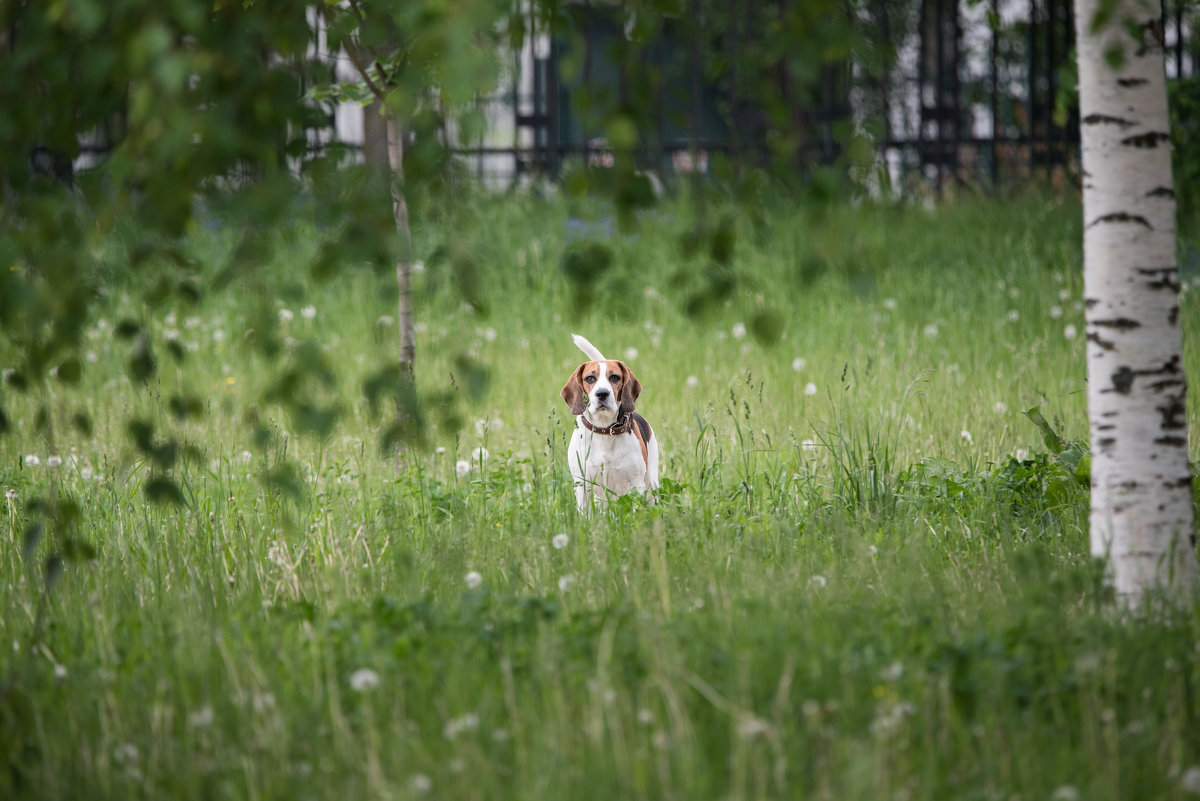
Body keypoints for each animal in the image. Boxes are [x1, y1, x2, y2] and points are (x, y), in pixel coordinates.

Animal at [559, 330, 662, 513]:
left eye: (614, 377)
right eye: (590, 378)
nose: (602, 393)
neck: (604, 429)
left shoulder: (636, 484)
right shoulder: (582, 485)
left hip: (651, 481)